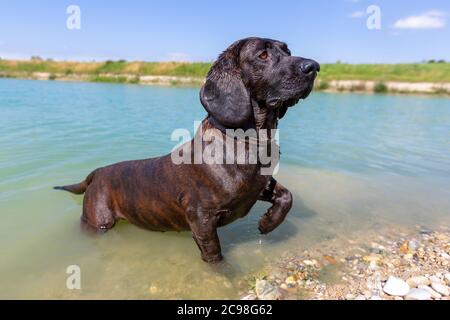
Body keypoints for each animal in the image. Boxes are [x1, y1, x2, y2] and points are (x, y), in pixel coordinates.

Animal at [54, 37, 318, 262]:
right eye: (263, 55)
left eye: (287, 51)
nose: (314, 67)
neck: (247, 140)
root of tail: (97, 172)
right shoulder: (200, 217)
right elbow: (213, 254)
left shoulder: (260, 187)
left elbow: (287, 196)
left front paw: (268, 223)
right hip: (97, 221)